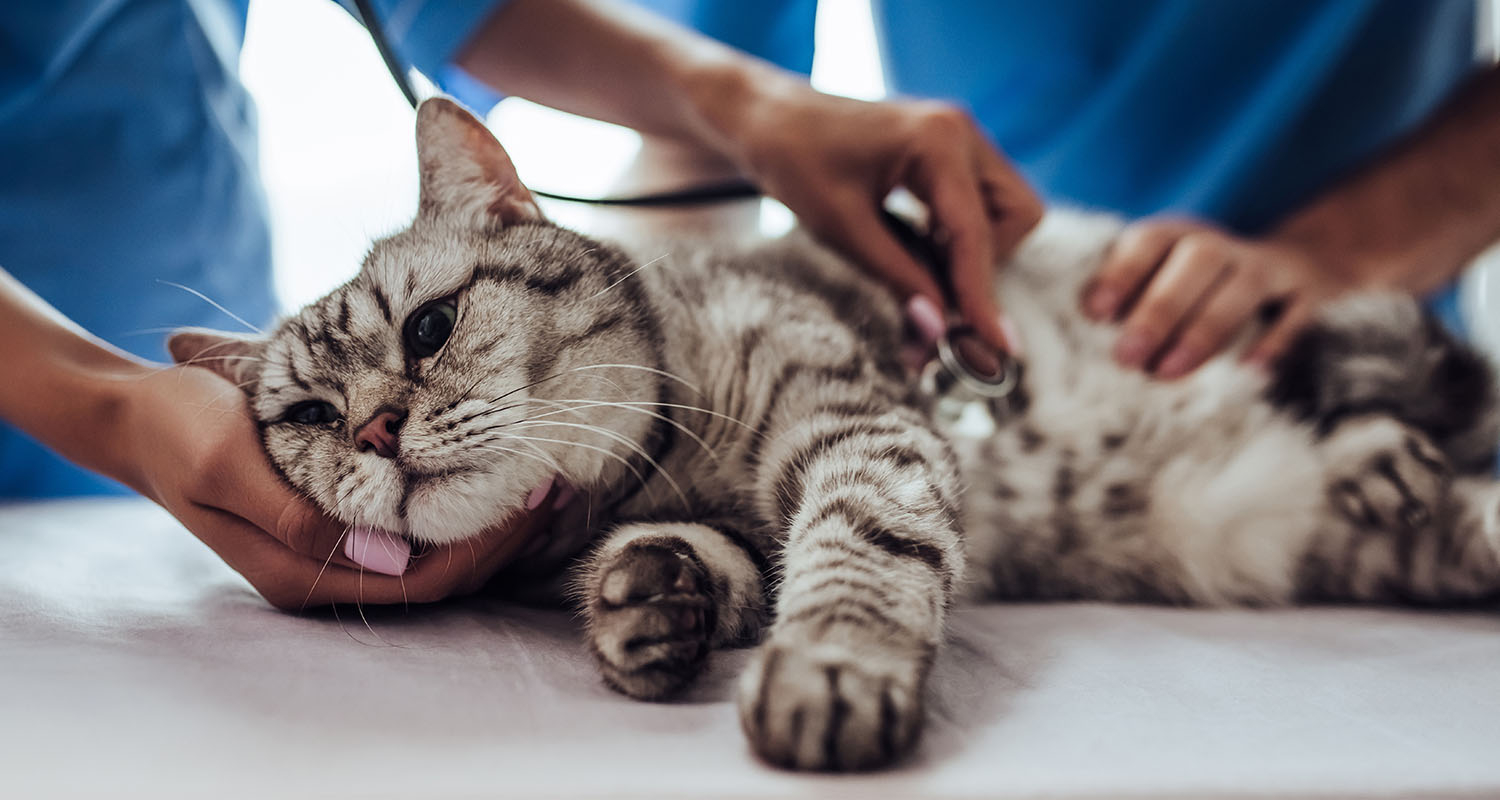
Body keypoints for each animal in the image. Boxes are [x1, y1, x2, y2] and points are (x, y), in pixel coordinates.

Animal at [170, 98, 1500, 768]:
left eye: (432, 325)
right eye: (310, 414)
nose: (377, 428)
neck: (656, 469)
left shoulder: (862, 426)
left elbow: (857, 550)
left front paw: (833, 667)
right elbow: (714, 566)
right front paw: (652, 598)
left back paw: (1375, 438)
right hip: (1283, 526)